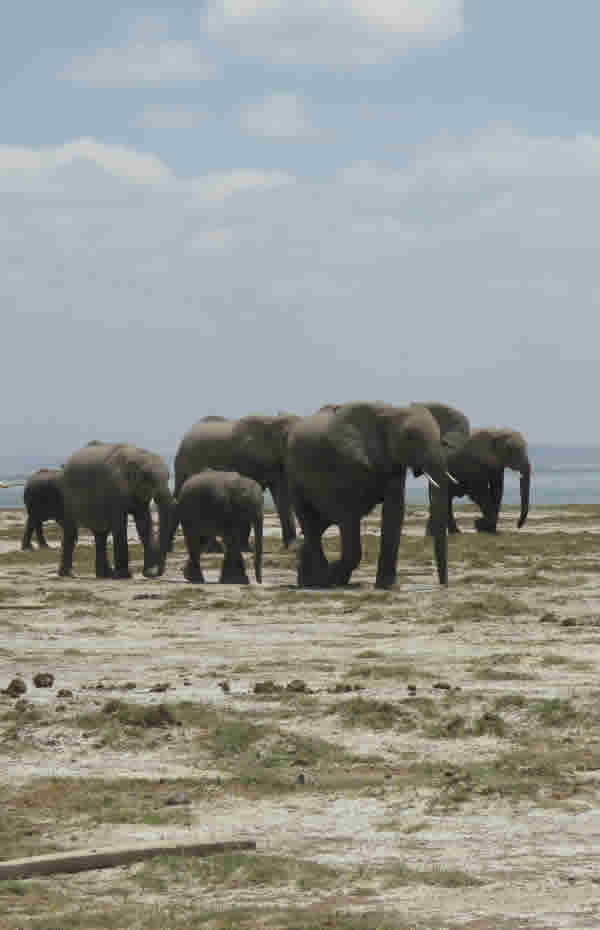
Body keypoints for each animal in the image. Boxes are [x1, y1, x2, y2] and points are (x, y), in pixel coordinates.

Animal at [59, 442, 174, 579]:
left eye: (169, 477)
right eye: (149, 478)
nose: (156, 573)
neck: (137, 455)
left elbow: (144, 522)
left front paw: (148, 572)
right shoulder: (115, 487)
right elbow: (120, 523)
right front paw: (125, 575)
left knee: (101, 534)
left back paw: (105, 574)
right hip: (66, 493)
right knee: (71, 530)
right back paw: (69, 574)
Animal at [174, 413, 298, 548]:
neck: (272, 421)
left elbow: (282, 496)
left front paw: (292, 546)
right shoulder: (244, 459)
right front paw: (244, 547)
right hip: (182, 462)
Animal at [286, 402, 451, 589]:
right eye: (409, 437)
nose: (443, 586)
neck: (390, 412)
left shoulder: (392, 463)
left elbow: (394, 510)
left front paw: (387, 587)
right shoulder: (343, 460)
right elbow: (348, 515)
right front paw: (334, 576)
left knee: (319, 524)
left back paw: (308, 580)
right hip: (294, 478)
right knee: (311, 522)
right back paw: (321, 582)